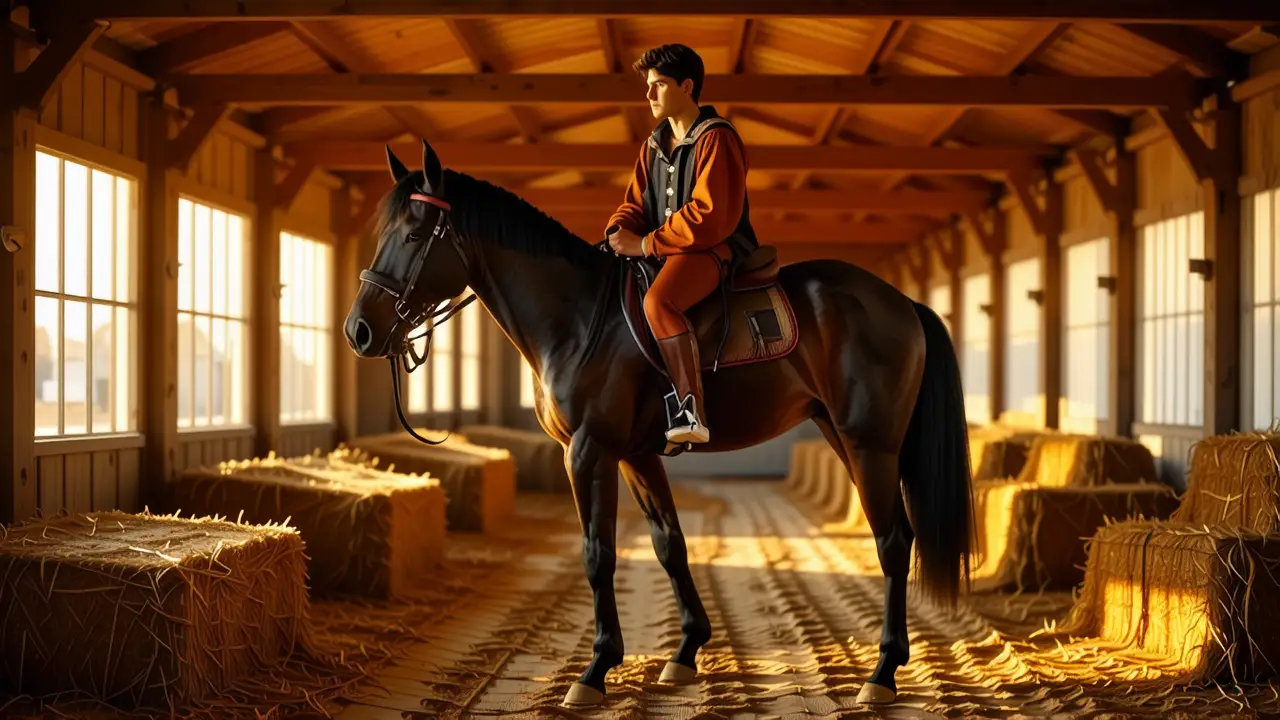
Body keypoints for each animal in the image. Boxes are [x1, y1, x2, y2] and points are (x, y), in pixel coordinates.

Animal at [343, 139, 974, 708]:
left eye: (414, 236)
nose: (359, 331)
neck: (581, 317)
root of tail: (902, 302)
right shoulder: (636, 454)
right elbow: (670, 544)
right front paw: (686, 651)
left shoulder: (588, 451)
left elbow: (598, 553)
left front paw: (596, 669)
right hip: (844, 437)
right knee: (897, 536)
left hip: (870, 445)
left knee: (892, 542)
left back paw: (883, 673)